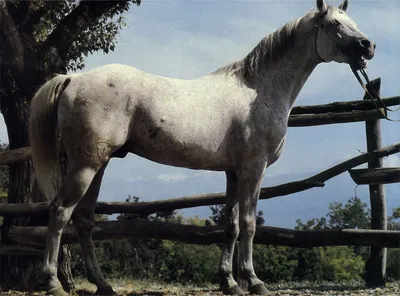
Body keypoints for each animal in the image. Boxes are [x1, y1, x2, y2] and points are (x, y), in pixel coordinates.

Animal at [30, 1, 376, 294]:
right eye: (334, 24)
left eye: (354, 22)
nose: (368, 46)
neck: (258, 90)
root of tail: (73, 79)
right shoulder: (254, 169)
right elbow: (249, 224)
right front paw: (254, 281)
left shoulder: (233, 172)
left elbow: (231, 225)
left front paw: (230, 282)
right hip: (85, 166)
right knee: (60, 212)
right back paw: (53, 283)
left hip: (97, 165)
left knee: (84, 220)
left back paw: (103, 285)